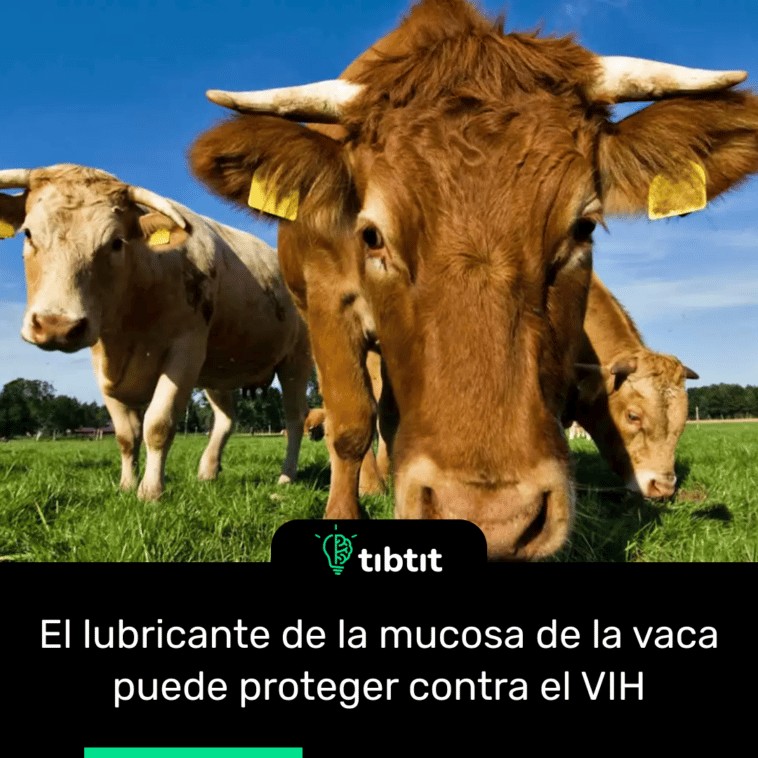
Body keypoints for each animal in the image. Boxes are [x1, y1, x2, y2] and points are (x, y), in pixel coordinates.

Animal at [0, 164, 312, 501]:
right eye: (28, 233)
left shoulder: (185, 352)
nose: (55, 325)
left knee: (296, 420)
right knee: (226, 419)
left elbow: (158, 425)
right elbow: (126, 435)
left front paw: (151, 491)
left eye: (116, 242)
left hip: (296, 361)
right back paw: (208, 472)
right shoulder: (103, 367)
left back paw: (287, 476)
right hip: (218, 371)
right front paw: (126, 485)